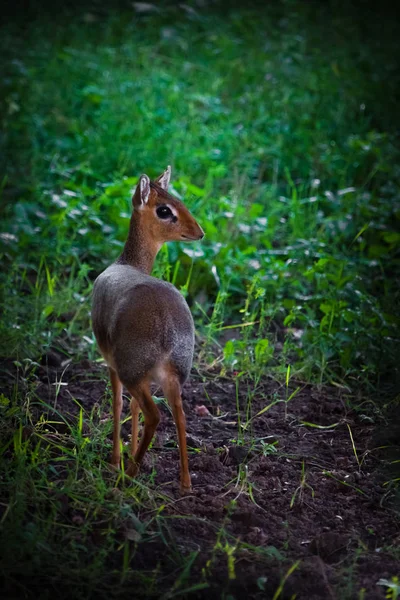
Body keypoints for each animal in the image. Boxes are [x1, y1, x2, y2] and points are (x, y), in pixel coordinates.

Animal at [92, 168, 205, 492]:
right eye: (165, 208)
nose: (199, 232)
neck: (128, 263)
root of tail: (166, 326)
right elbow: (131, 408)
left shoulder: (111, 363)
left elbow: (118, 403)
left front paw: (116, 460)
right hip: (173, 374)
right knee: (179, 415)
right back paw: (185, 482)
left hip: (133, 371)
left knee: (155, 415)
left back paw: (129, 475)